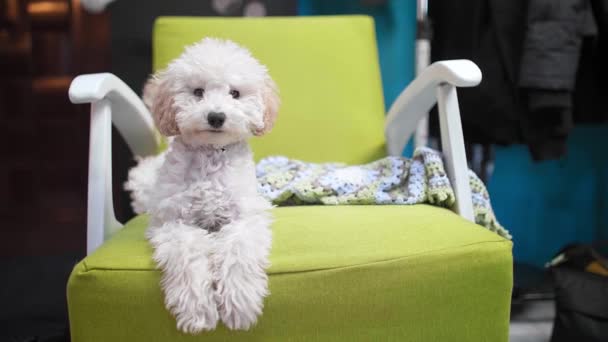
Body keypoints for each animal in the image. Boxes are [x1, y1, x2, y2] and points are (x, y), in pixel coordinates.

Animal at [126, 38, 282, 334]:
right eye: (198, 92)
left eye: (235, 93)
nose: (216, 116)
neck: (210, 155)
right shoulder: (173, 222)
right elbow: (188, 256)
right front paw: (197, 311)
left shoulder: (245, 218)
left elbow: (238, 250)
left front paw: (240, 305)